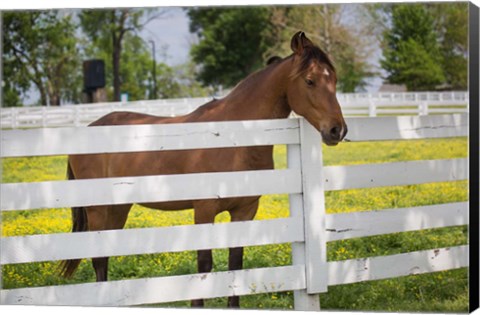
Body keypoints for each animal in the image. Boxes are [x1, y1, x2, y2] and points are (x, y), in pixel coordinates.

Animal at [60, 32, 346, 308]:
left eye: (334, 80)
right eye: (310, 80)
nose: (337, 130)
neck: (234, 139)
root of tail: (90, 128)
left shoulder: (245, 211)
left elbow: (235, 262)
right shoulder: (205, 210)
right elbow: (204, 263)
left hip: (119, 208)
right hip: (98, 209)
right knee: (98, 257)